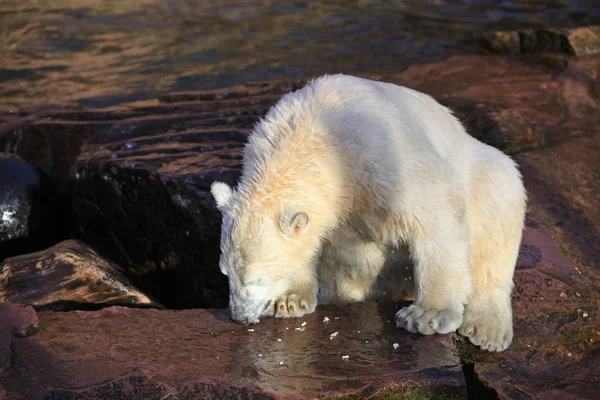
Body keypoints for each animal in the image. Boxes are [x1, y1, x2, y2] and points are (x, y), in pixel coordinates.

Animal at [210, 73, 524, 352]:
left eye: (256, 279)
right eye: (225, 273)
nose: (238, 317)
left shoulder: (383, 157)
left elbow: (435, 214)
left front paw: (426, 315)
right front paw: (289, 300)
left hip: (481, 169)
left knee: (498, 204)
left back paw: (487, 329)